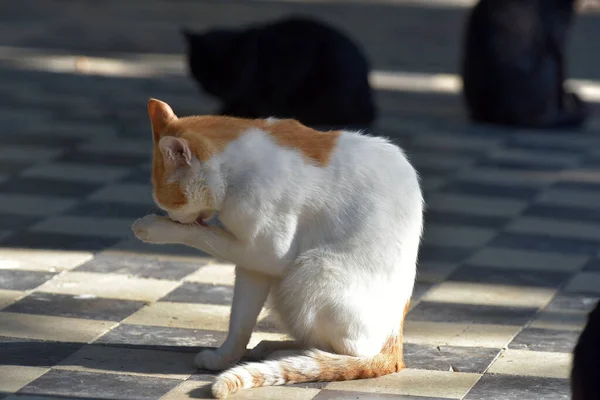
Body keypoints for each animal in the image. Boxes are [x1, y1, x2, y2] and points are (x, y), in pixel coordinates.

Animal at [134, 99, 424, 396]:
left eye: (171, 203)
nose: (175, 217)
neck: (236, 169)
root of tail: (395, 344)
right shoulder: (251, 265)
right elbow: (240, 320)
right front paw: (225, 357)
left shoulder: (268, 252)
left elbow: (203, 234)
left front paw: (154, 228)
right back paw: (274, 349)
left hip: (310, 270)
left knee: (352, 353)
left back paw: (294, 356)